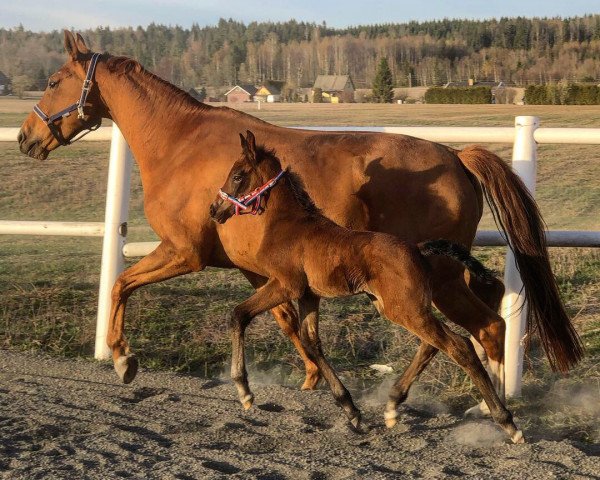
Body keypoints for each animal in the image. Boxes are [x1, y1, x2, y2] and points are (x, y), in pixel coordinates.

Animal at [211, 130, 524, 442]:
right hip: (401, 307)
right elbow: (312, 342)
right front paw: (351, 410)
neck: (291, 225)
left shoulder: (285, 285)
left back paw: (506, 421)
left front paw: (244, 391)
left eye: (237, 175)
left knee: (459, 345)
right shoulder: (309, 295)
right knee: (441, 343)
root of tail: (418, 249)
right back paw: (395, 406)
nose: (215, 209)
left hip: (405, 309)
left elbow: (239, 315)